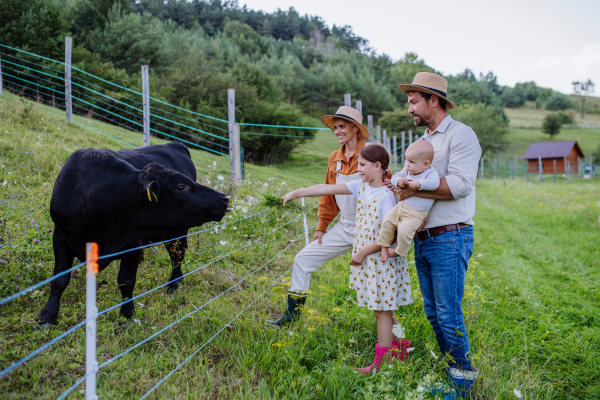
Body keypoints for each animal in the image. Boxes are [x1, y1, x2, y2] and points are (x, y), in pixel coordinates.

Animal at [35, 142, 227, 326]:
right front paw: (47, 316)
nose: (224, 198)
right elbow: (60, 279)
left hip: (178, 234)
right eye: (181, 186)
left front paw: (127, 317)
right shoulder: (61, 237)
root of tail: (175, 143)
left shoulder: (133, 243)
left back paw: (173, 286)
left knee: (177, 260)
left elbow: (126, 282)